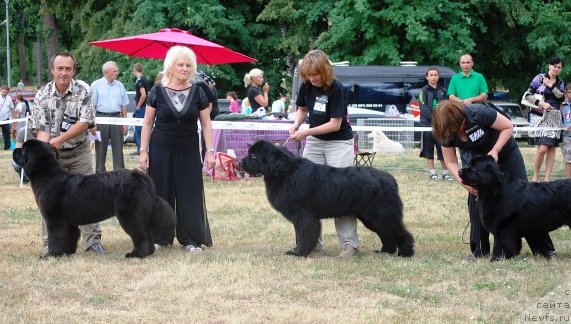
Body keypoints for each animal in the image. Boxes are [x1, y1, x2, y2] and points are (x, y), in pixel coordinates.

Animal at [15, 139, 177, 258]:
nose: (15, 149)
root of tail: (141, 177)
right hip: (140, 214)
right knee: (147, 234)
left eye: (23, 150)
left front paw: (51, 255)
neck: (47, 175)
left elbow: (56, 237)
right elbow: (70, 236)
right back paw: (148, 253)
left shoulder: (54, 219)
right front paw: (67, 253)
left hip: (129, 215)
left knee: (140, 235)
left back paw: (136, 255)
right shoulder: (69, 222)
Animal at [241, 140, 416, 256]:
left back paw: (405, 253)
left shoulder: (303, 216)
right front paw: (299, 250)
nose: (239, 162)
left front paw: (299, 253)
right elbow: (300, 235)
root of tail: (389, 179)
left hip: (381, 214)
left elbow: (303, 235)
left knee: (399, 232)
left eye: (253, 155)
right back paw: (385, 251)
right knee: (386, 234)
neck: (285, 173)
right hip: (371, 217)